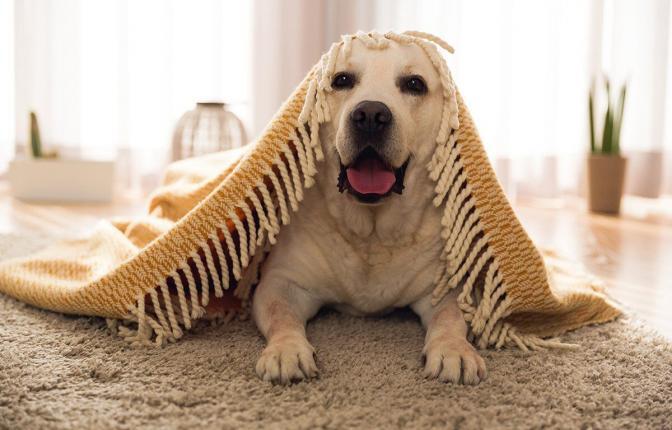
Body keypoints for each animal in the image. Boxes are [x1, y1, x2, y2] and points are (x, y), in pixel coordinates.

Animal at [249, 37, 486, 386]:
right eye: (341, 80)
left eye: (414, 84)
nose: (371, 115)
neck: (371, 233)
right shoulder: (282, 282)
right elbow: (282, 315)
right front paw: (286, 350)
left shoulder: (446, 289)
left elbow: (451, 317)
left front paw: (454, 350)